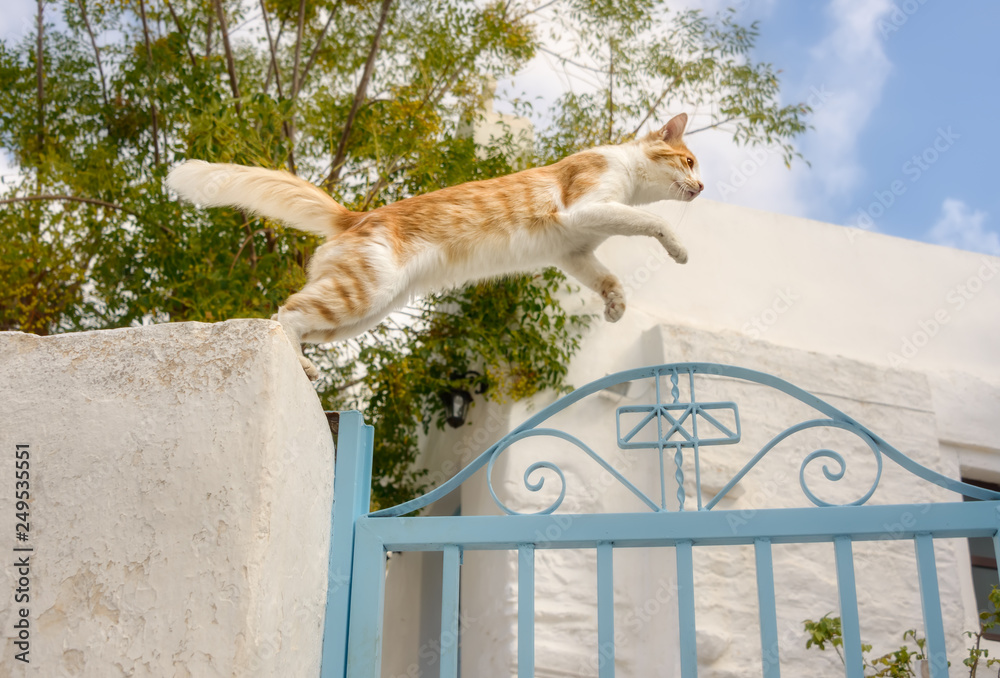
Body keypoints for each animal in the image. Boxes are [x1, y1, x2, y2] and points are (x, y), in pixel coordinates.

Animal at [166, 110, 704, 378]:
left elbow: (605, 275)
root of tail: (354, 216)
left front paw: (615, 304)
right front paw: (679, 248)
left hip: (360, 312)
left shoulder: (574, 250)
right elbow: (651, 221)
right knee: (284, 314)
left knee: (298, 317)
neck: (628, 174)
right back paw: (297, 363)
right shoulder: (585, 208)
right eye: (691, 161)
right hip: (361, 294)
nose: (702, 188)